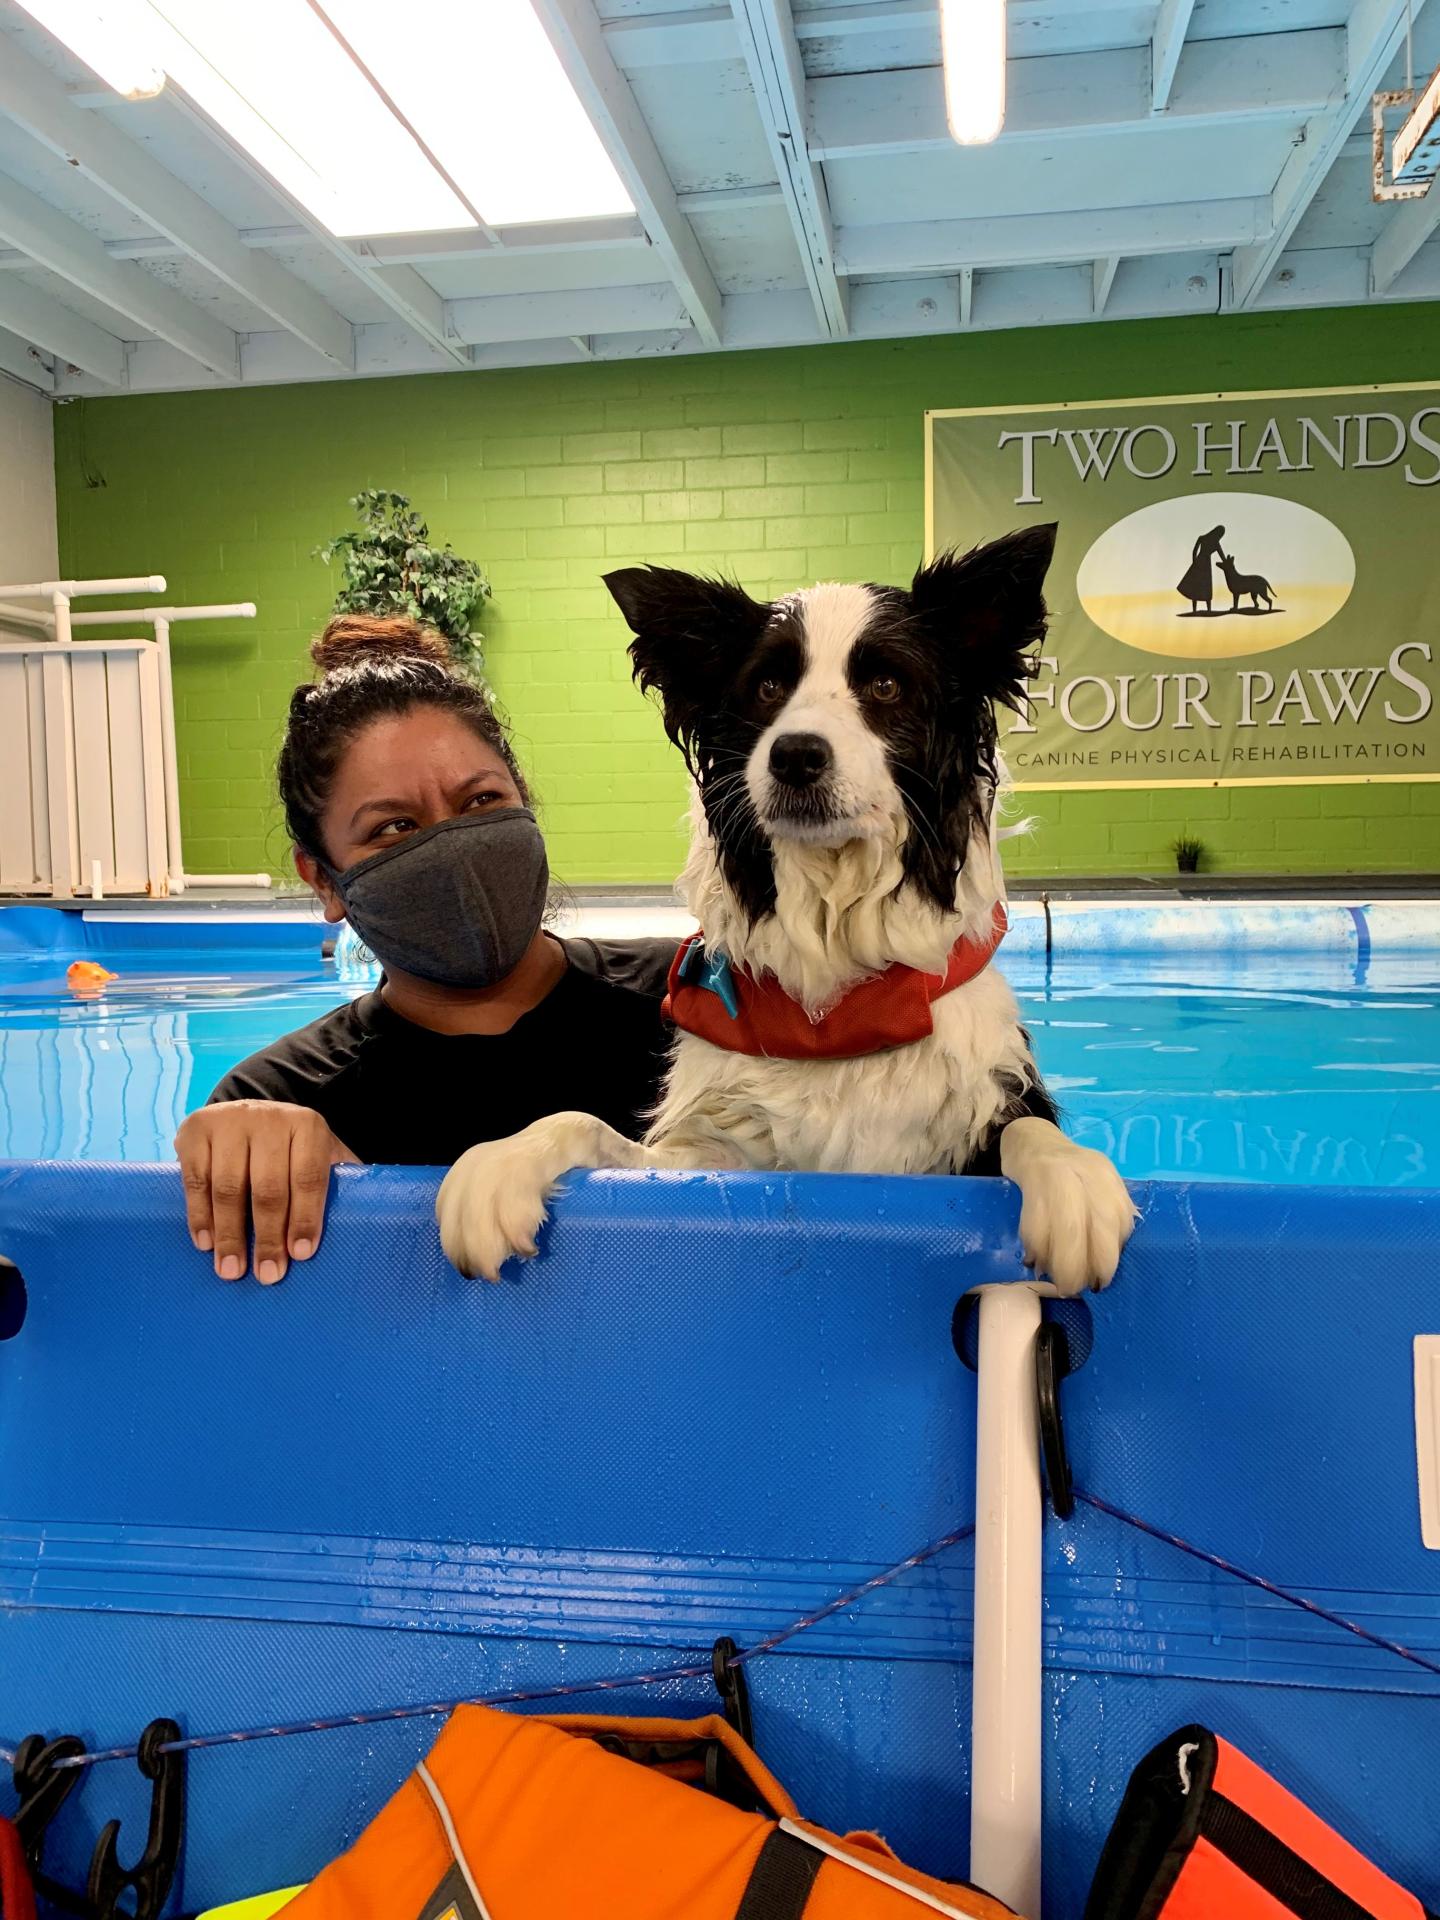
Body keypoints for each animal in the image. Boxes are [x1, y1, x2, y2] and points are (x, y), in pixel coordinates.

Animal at [439, 526, 1136, 1297]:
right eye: (768, 687)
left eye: (885, 685)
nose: (795, 755)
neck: (838, 1005)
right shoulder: (712, 1153)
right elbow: (584, 1123)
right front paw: (501, 1163)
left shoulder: (978, 1107)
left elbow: (1024, 1128)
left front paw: (1073, 1178)